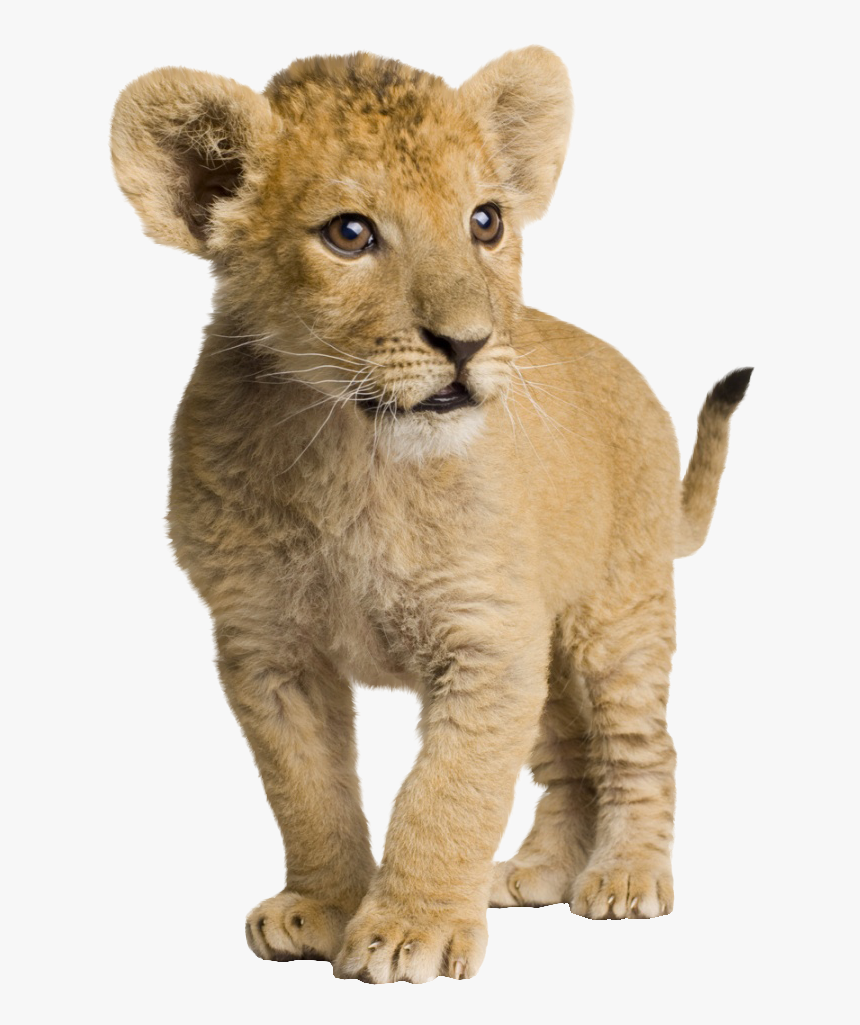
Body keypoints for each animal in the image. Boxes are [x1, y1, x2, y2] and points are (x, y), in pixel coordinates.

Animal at [111, 47, 752, 983]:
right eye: (350, 234)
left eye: (485, 221)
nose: (469, 343)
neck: (353, 454)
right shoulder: (266, 645)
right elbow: (307, 789)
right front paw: (323, 906)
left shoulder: (487, 638)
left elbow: (449, 789)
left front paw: (412, 928)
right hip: (549, 650)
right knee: (570, 760)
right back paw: (534, 872)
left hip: (615, 615)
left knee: (640, 747)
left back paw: (627, 875)